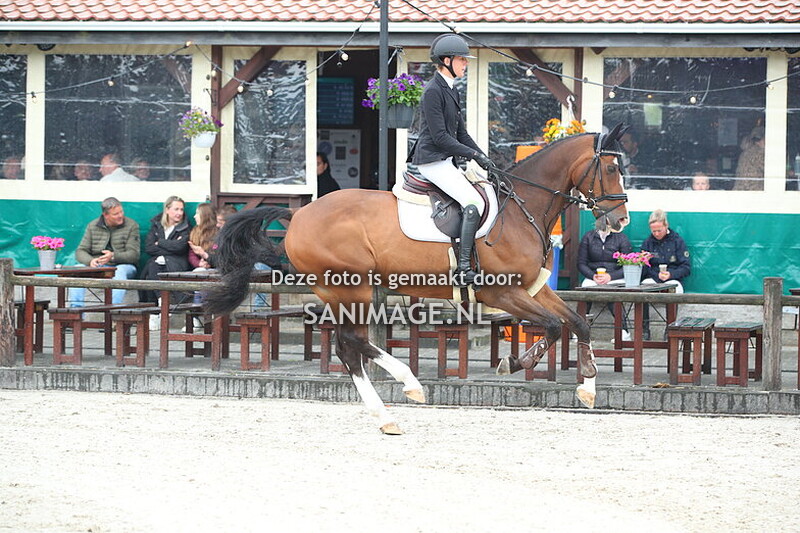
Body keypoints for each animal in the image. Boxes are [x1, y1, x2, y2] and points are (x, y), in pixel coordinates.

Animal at [205, 124, 630, 434]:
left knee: (349, 347)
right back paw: (406, 388)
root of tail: (299, 215)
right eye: (611, 169)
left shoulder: (533, 286)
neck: (521, 208)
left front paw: (587, 386)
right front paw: (513, 362)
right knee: (351, 343)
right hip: (352, 286)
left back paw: (389, 412)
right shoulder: (503, 291)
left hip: (341, 290)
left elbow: (576, 323)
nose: (620, 220)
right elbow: (554, 326)